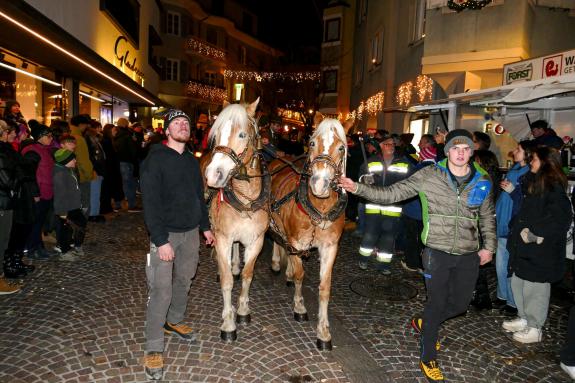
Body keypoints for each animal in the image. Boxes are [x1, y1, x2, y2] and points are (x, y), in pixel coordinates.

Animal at [202, 98, 270, 342]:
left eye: (241, 134)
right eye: (216, 133)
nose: (213, 174)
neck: (245, 200)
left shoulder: (257, 240)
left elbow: (248, 275)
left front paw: (242, 310)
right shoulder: (223, 238)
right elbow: (227, 282)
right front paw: (228, 321)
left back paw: (234, 265)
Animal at [270, 115, 356, 352]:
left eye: (342, 147)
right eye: (311, 143)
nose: (319, 183)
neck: (320, 209)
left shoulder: (330, 247)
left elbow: (325, 288)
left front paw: (323, 332)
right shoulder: (297, 242)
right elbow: (301, 275)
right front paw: (299, 307)